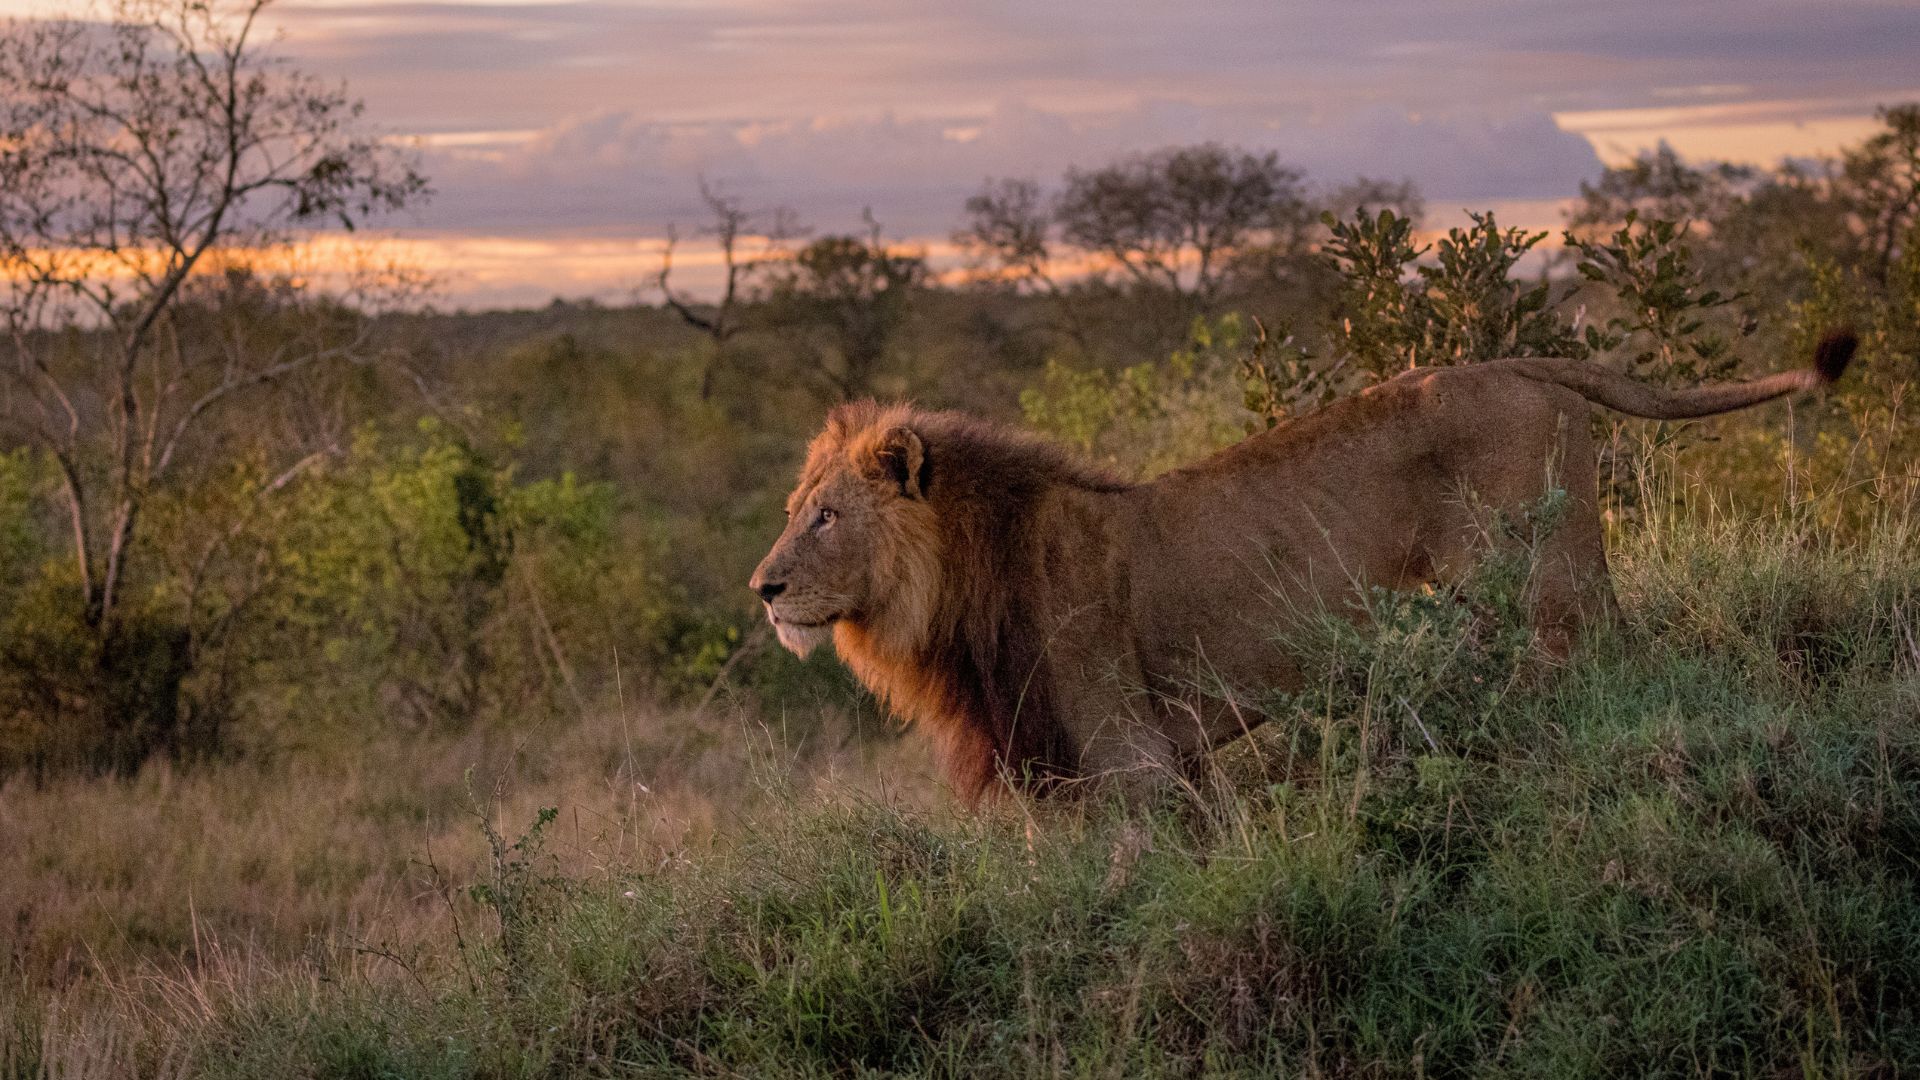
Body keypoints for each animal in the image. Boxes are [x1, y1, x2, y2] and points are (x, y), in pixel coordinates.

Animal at [750, 333, 1857, 802]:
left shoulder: (1127, 756)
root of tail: (1523, 360)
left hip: (1549, 581)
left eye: (827, 517)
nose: (762, 589)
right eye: (794, 513)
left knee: (1612, 659)